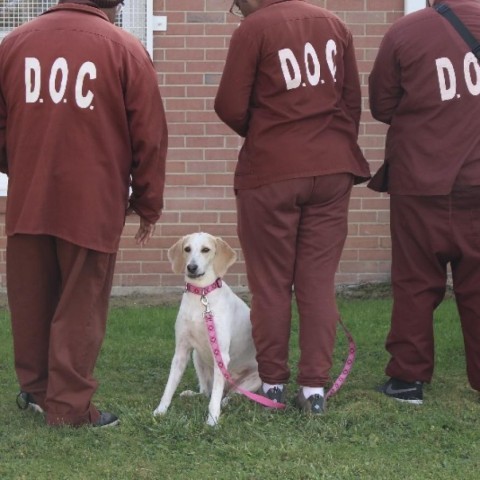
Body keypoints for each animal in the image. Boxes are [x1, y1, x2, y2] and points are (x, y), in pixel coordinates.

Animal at [154, 232, 260, 424]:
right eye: (187, 249)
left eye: (206, 250)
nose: (191, 267)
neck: (201, 295)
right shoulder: (181, 351)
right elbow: (169, 387)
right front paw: (160, 411)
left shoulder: (222, 355)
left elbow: (215, 399)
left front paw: (212, 420)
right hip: (197, 357)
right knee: (206, 392)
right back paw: (192, 394)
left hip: (254, 380)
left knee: (229, 394)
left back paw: (226, 401)